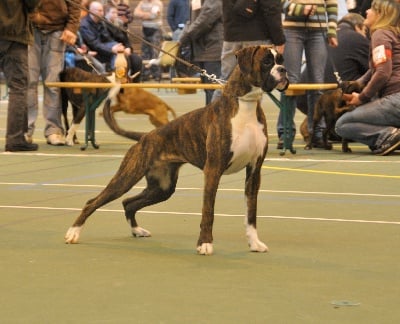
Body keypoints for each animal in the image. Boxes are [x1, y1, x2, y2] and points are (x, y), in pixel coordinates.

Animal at [64, 45, 290, 254]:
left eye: (281, 59)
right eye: (267, 61)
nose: (284, 70)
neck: (246, 105)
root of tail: (145, 136)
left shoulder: (254, 172)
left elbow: (251, 214)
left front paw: (254, 243)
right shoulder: (213, 170)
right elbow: (208, 211)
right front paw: (204, 244)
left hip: (162, 187)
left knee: (129, 203)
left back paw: (137, 230)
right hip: (126, 178)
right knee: (93, 201)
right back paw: (73, 232)